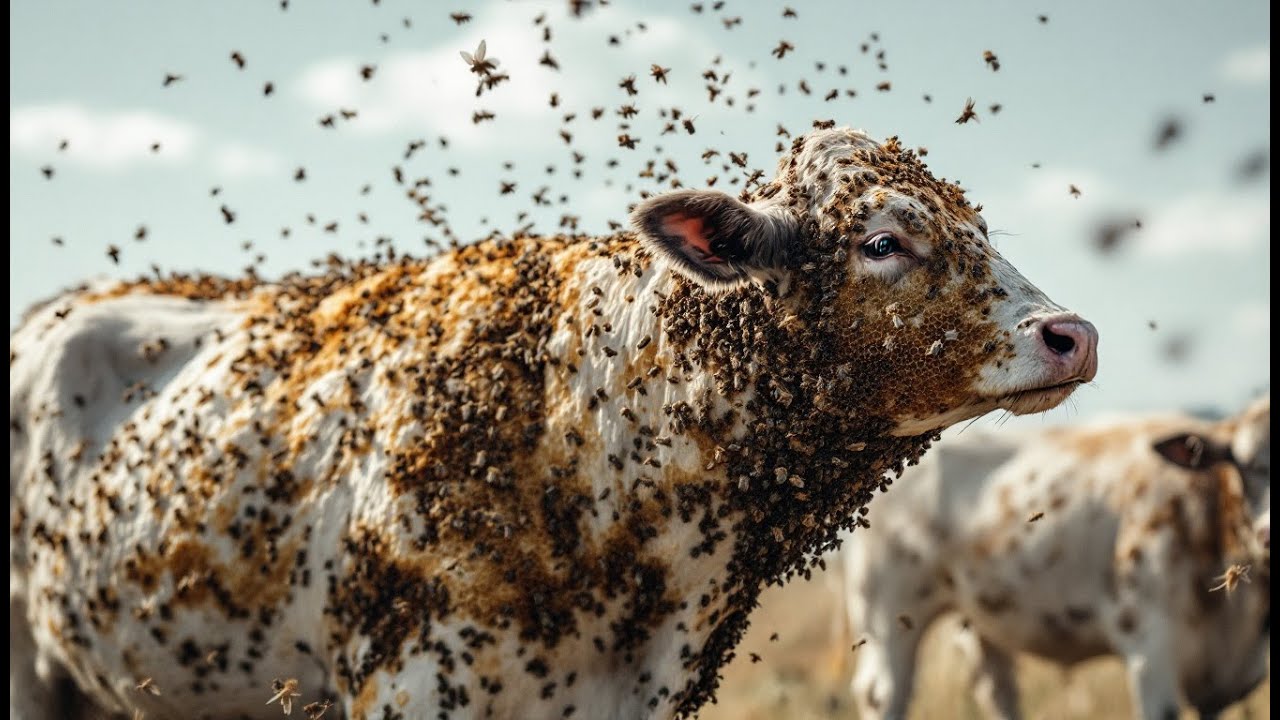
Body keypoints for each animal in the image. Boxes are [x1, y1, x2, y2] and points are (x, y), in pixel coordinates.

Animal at [840, 394, 1270, 720]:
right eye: (1244, 464)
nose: (1267, 534)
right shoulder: (1150, 650)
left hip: (981, 618)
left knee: (997, 691)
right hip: (886, 616)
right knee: (884, 693)